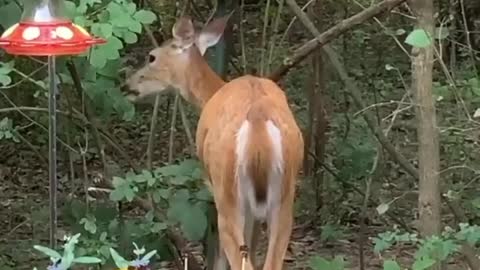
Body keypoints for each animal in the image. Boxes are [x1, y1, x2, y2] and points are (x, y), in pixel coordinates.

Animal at [124, 14, 304, 270]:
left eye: (152, 57)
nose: (127, 85)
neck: (212, 92)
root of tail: (257, 118)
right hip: (285, 195)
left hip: (227, 190)